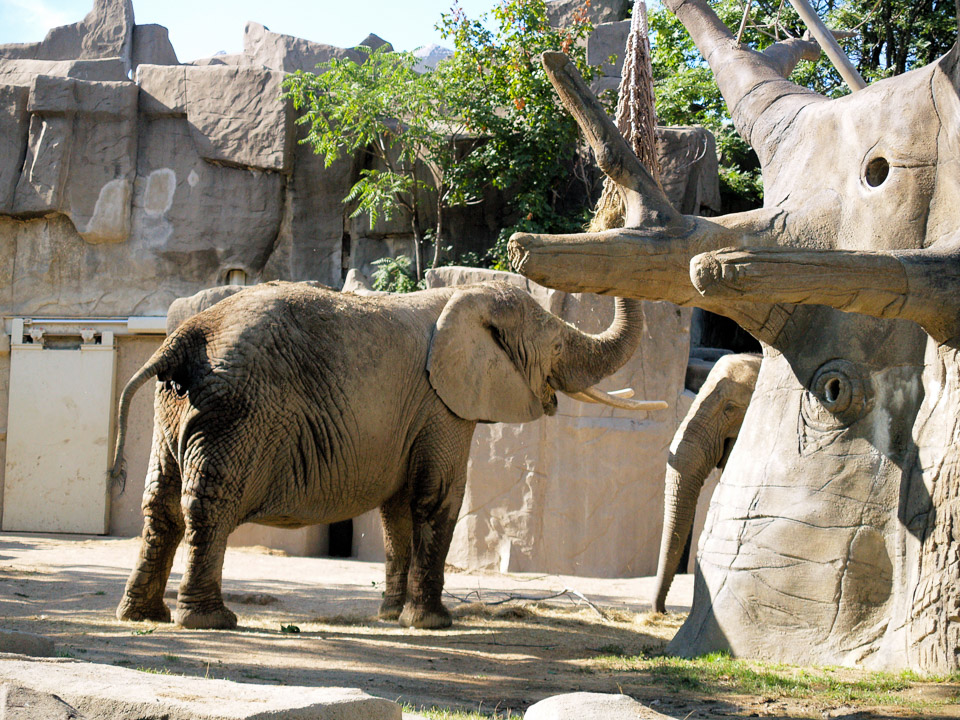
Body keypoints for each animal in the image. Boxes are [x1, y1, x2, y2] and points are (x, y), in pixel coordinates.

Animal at [109, 282, 656, 632]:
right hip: (238, 413)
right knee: (210, 506)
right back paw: (211, 622)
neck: (463, 297)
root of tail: (182, 338)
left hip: (176, 408)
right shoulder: (442, 405)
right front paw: (433, 624)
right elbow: (438, 499)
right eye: (558, 344)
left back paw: (143, 617)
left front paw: (392, 618)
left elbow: (397, 511)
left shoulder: (415, 417)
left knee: (161, 505)